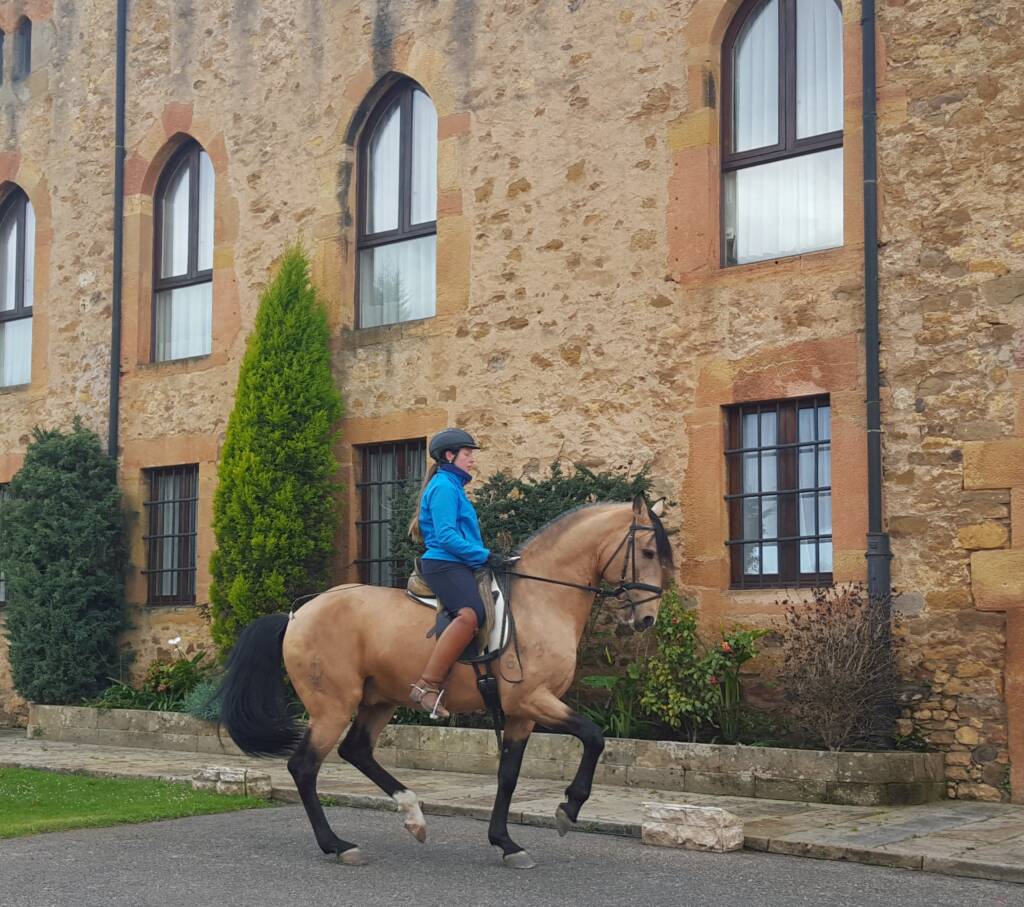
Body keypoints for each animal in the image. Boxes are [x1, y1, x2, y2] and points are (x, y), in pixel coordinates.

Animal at [218, 495, 673, 868]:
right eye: (648, 551)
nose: (648, 619)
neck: (541, 600)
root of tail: (298, 614)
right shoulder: (533, 699)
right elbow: (594, 737)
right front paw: (569, 809)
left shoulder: (521, 713)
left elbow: (508, 775)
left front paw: (506, 843)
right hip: (333, 706)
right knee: (304, 767)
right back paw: (339, 845)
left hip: (379, 700)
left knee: (356, 750)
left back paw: (413, 816)